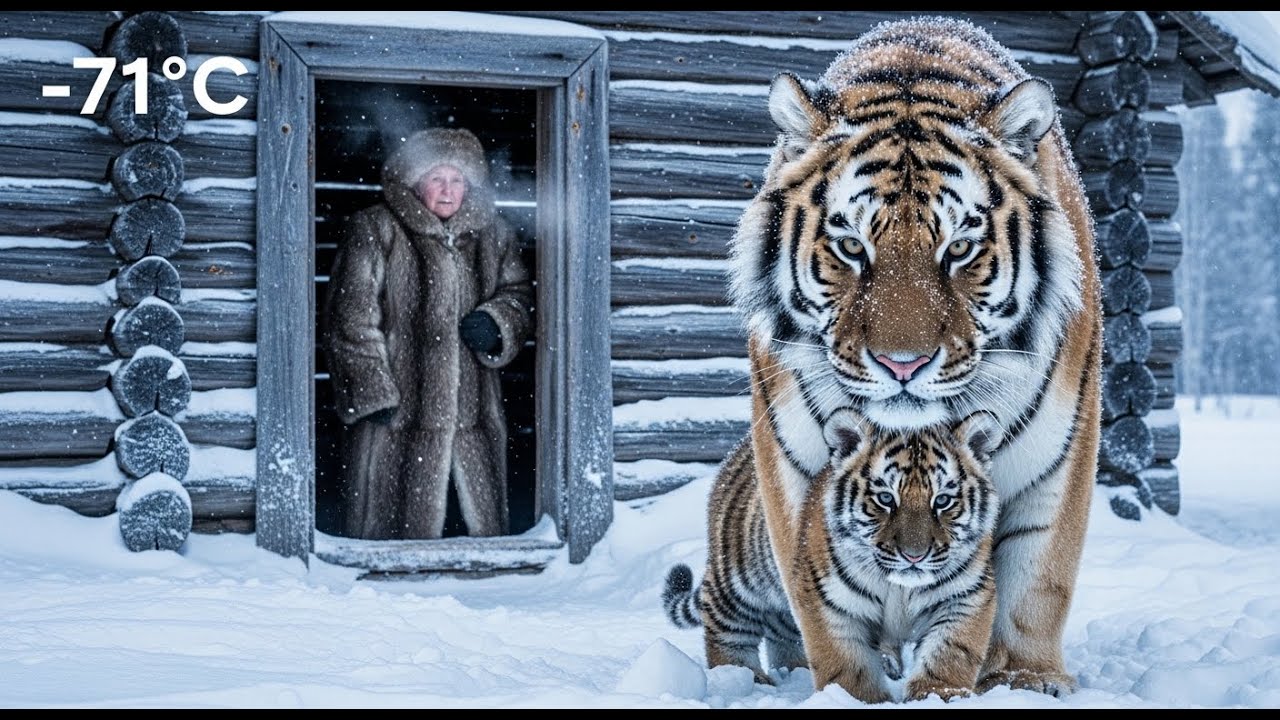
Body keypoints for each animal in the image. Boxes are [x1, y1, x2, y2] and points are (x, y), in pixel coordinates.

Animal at [663, 409, 1002, 702]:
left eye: (942, 500)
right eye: (885, 498)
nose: (914, 556)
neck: (899, 587)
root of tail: (739, 448)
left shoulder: (964, 596)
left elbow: (950, 654)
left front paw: (937, 697)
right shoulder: (829, 603)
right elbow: (846, 664)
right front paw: (859, 700)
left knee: (783, 633)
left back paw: (793, 670)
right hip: (737, 582)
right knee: (726, 630)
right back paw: (745, 678)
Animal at [726, 17, 1102, 697]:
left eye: (959, 249)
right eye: (851, 247)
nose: (903, 364)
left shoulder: (1056, 458)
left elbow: (1038, 578)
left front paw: (1027, 681)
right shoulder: (791, 462)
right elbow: (819, 598)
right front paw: (844, 692)